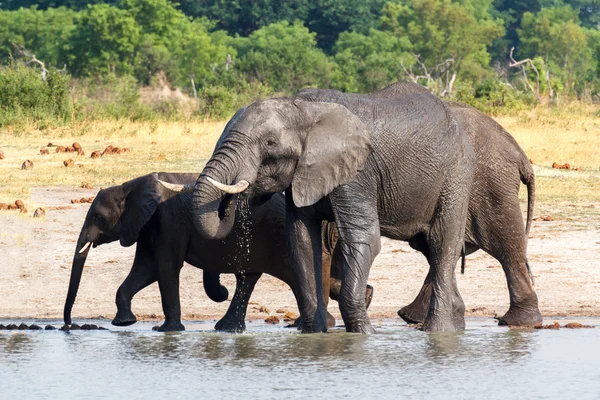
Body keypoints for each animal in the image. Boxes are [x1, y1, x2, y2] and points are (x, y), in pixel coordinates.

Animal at [65, 172, 372, 332]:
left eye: (99, 218)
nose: (68, 326)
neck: (131, 185)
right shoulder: (150, 226)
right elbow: (146, 269)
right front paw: (124, 323)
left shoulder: (167, 221)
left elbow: (165, 268)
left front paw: (166, 331)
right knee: (250, 278)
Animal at [190, 83, 476, 332]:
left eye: (270, 143)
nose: (236, 192)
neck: (303, 108)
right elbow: (302, 240)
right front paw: (313, 334)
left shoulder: (358, 172)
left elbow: (362, 238)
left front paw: (364, 334)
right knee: (429, 247)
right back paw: (457, 323)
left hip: (456, 174)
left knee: (441, 243)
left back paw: (439, 331)